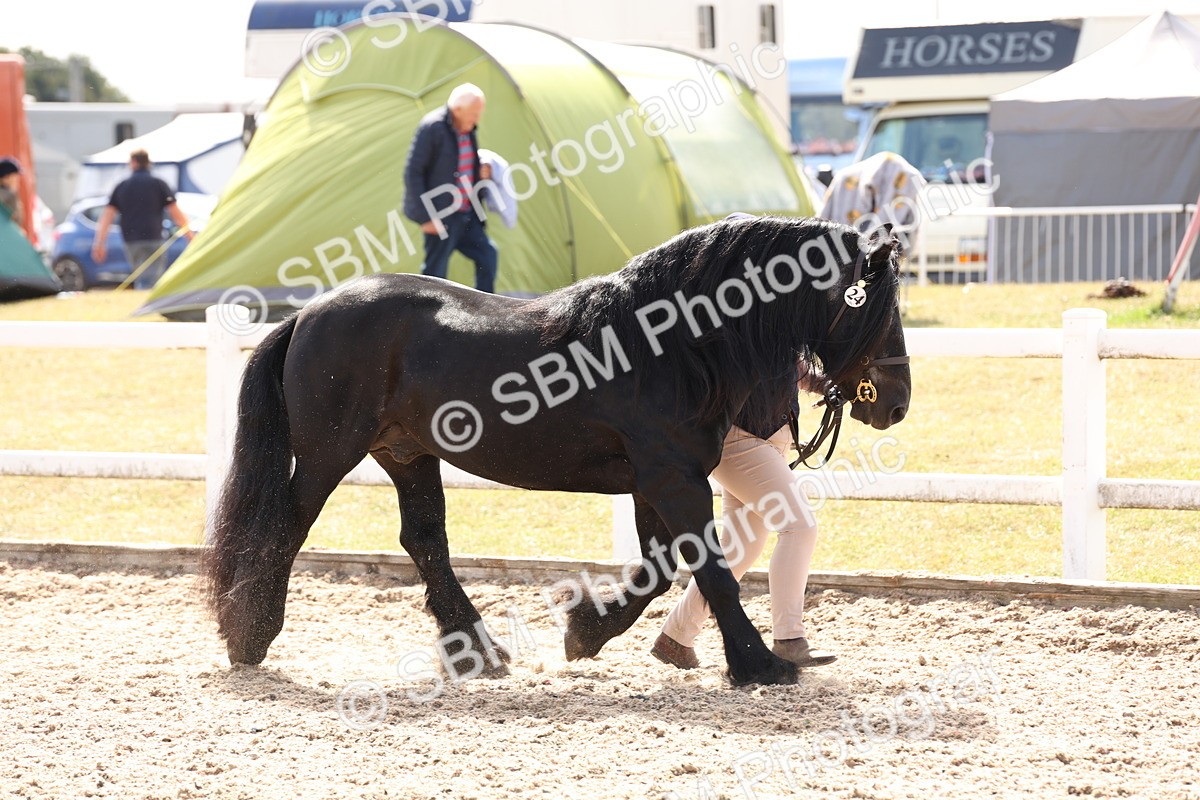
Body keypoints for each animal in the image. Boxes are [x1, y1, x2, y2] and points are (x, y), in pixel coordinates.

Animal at [202, 214, 911, 687]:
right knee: (284, 529)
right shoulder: (672, 478)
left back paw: (478, 653)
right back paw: (249, 636)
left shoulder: (654, 481)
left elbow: (660, 570)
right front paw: (758, 664)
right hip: (329, 455)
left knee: (424, 541)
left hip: (406, 455)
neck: (671, 345)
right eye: (875, 306)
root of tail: (309, 313)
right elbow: (709, 567)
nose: (896, 403)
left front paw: (586, 630)